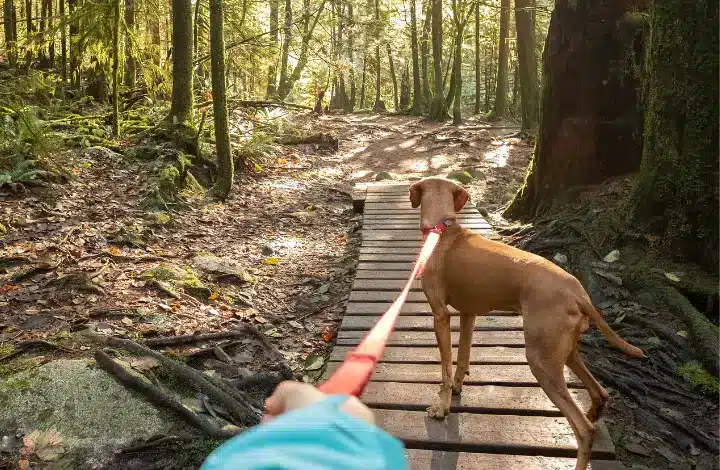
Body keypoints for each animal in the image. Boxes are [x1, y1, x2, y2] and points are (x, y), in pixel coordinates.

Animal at [410, 177, 648, 470]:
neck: (443, 229)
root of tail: (578, 293)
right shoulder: (468, 314)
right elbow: (462, 358)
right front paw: (456, 388)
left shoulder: (440, 315)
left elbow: (444, 367)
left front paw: (441, 408)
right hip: (564, 353)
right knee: (600, 392)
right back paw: (595, 411)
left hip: (540, 361)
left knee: (584, 430)